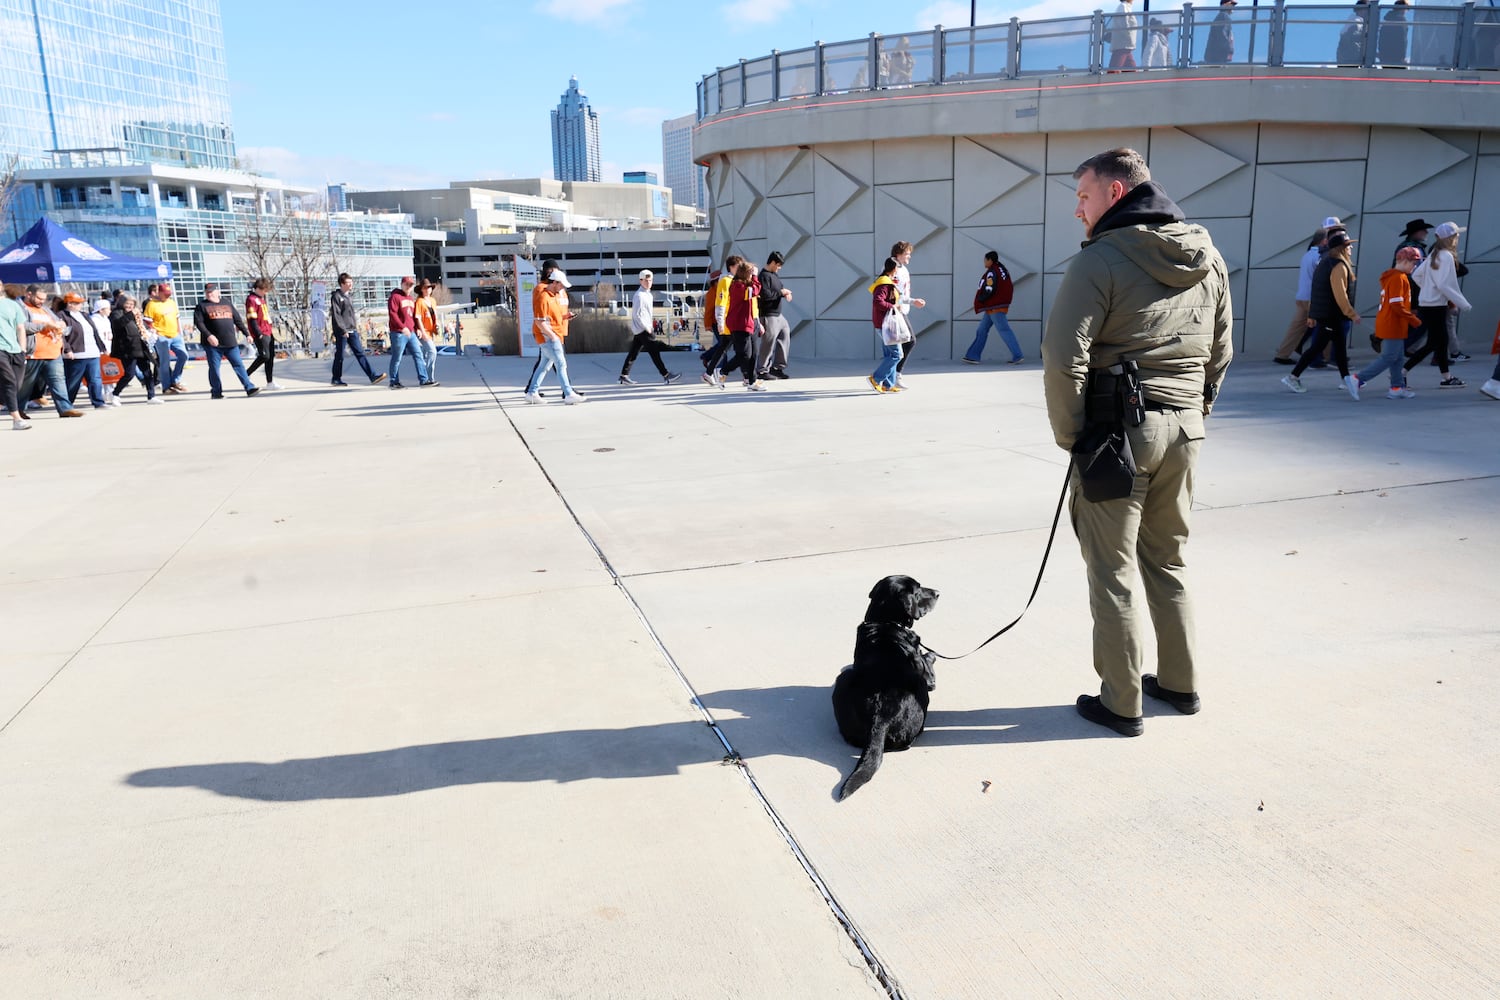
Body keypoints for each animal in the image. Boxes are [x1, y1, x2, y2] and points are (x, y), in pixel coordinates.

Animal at [834, 578, 936, 797]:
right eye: (918, 591)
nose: (938, 593)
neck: (885, 622)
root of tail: (880, 716)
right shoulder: (921, 667)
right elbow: (927, 662)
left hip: (843, 681)